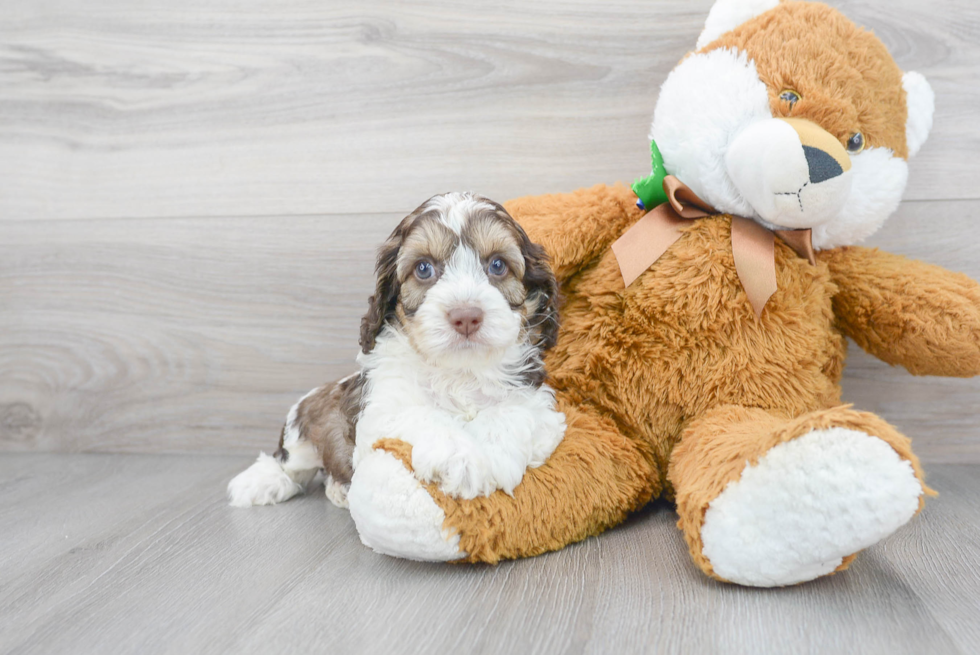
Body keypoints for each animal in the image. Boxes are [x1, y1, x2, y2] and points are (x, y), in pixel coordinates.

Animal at [229, 192, 564, 510]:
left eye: (497, 265)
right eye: (424, 268)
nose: (466, 316)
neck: (458, 371)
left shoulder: (538, 404)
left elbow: (512, 414)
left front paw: (494, 457)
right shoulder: (381, 408)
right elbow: (420, 414)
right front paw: (461, 460)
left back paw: (338, 490)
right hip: (302, 431)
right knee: (290, 464)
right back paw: (260, 483)